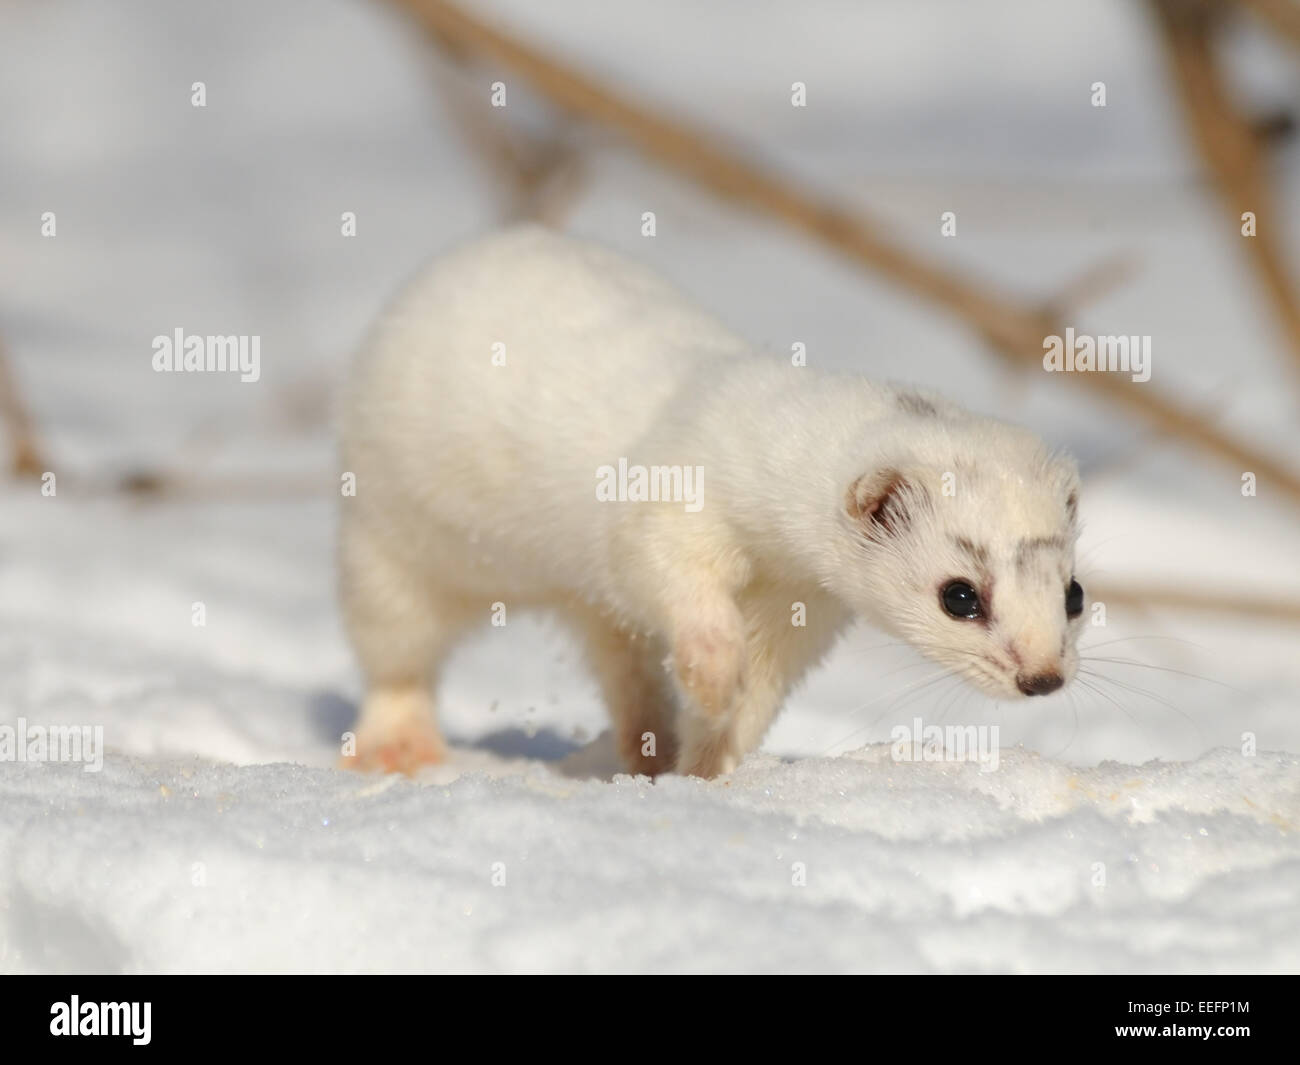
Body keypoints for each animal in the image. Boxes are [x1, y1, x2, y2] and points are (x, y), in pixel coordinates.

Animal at [338, 227, 1086, 775]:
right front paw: (712, 672)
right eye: (959, 595)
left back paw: (645, 748)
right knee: (394, 648)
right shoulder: (667, 501)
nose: (1044, 677)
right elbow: (663, 574)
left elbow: (758, 694)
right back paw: (398, 747)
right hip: (385, 533)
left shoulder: (800, 607)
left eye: (1075, 593)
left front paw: (704, 770)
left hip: (586, 608)